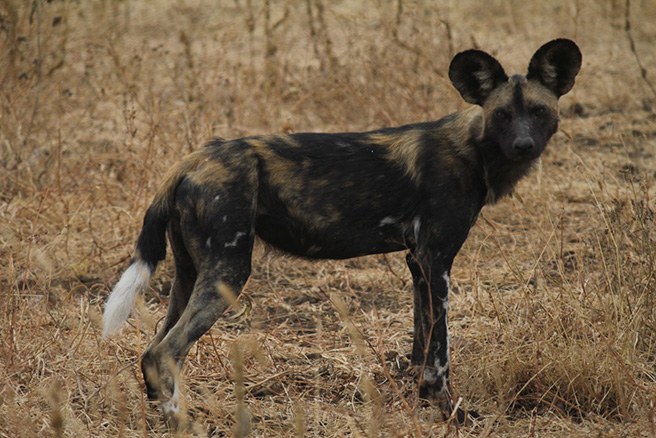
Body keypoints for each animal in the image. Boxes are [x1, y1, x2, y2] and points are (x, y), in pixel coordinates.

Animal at [104, 39, 584, 422]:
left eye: (538, 111)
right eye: (502, 114)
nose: (524, 146)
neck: (474, 150)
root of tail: (190, 161)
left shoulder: (418, 263)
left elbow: (420, 343)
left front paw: (420, 399)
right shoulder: (437, 262)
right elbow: (440, 352)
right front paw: (449, 411)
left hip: (190, 274)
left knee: (152, 351)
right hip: (228, 272)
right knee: (166, 351)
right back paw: (179, 421)